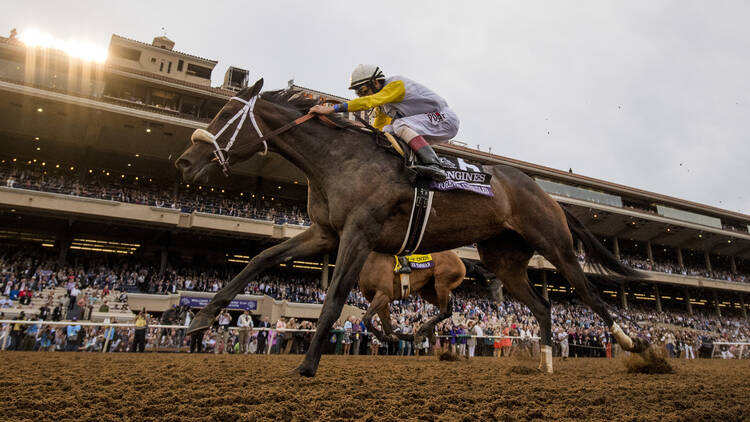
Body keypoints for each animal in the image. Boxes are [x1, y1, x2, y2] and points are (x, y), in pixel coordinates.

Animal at [178, 80, 652, 376]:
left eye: (225, 112)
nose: (184, 160)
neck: (338, 159)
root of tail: (548, 194)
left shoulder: (359, 234)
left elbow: (334, 300)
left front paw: (307, 365)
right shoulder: (325, 233)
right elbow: (258, 259)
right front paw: (202, 318)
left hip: (553, 244)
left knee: (590, 294)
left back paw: (635, 345)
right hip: (505, 259)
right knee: (542, 306)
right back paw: (546, 362)